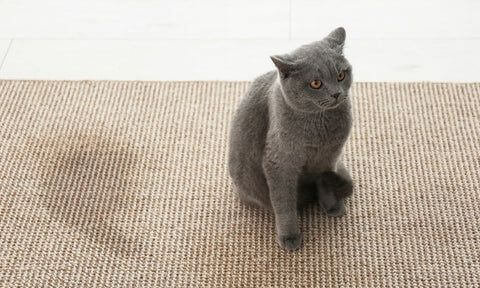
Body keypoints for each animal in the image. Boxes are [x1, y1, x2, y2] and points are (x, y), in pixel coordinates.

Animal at [227, 27, 354, 252]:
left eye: (341, 75)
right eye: (316, 83)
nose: (336, 94)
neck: (319, 128)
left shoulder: (330, 157)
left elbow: (324, 183)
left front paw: (331, 206)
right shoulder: (279, 162)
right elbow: (283, 202)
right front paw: (289, 237)